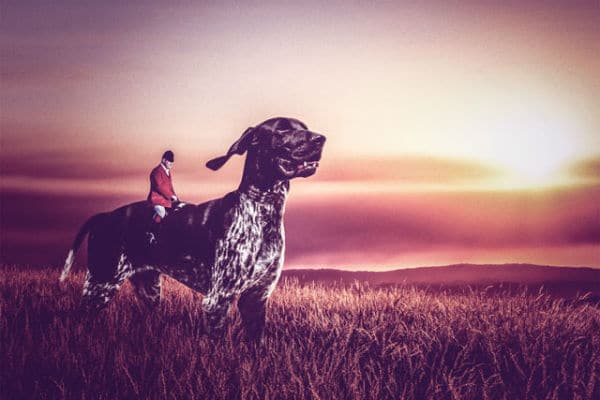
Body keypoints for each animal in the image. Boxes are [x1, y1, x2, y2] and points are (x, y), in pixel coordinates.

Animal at [58, 118, 326, 340]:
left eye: (305, 126)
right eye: (282, 129)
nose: (321, 139)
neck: (262, 208)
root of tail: (105, 216)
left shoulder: (256, 300)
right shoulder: (217, 301)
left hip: (149, 289)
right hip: (100, 284)